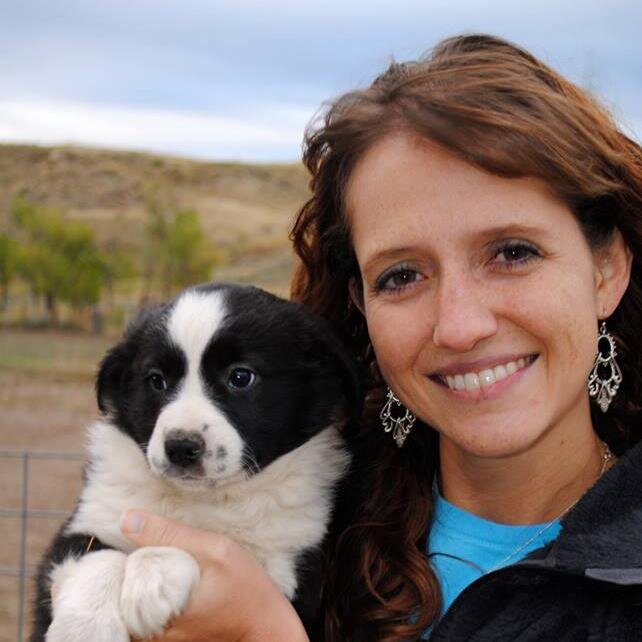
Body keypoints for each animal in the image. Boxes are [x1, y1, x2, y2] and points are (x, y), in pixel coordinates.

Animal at [31, 282, 360, 640]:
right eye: (157, 380)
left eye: (241, 377)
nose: (180, 446)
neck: (203, 498)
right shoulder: (90, 521)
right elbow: (94, 555)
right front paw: (85, 628)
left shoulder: (288, 569)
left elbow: (212, 547)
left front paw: (153, 575)